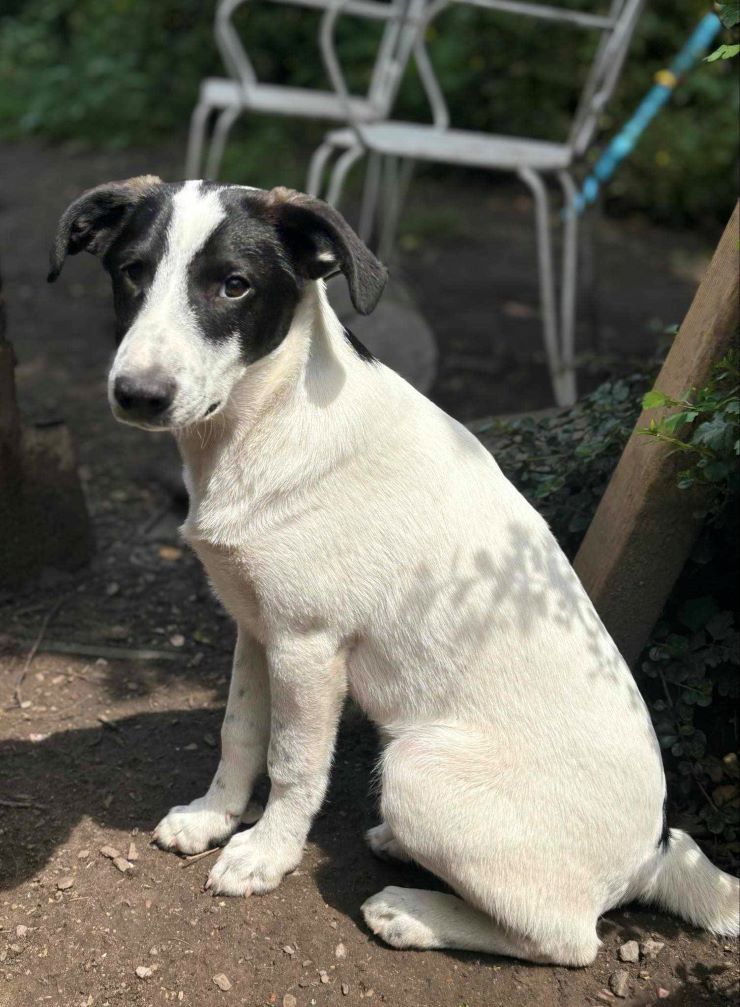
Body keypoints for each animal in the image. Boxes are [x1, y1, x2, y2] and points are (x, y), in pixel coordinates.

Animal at [49, 177, 736, 962]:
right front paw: (212, 817)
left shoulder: (308, 646)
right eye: (131, 271)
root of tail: (652, 852)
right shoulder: (256, 626)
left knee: (566, 940)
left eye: (234, 285)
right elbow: (239, 732)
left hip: (416, 769)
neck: (266, 419)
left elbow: (292, 764)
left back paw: (412, 912)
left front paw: (266, 854)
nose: (138, 394)